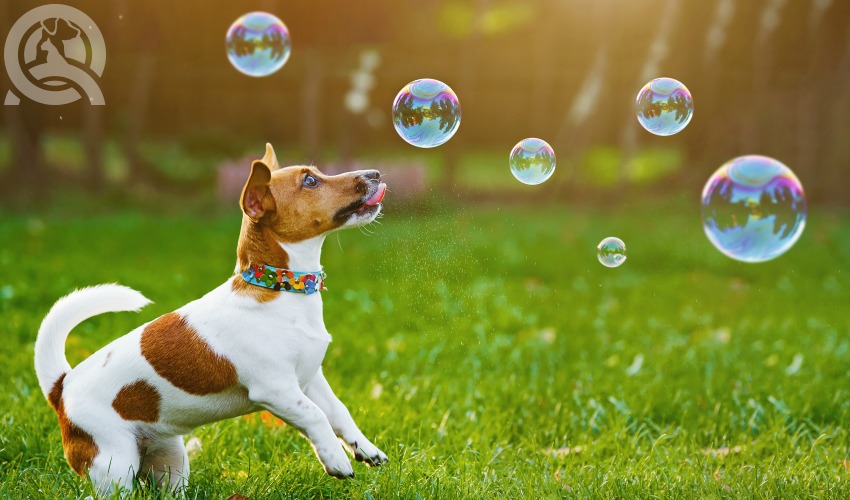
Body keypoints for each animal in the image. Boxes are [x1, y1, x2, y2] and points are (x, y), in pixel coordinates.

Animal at [34, 145, 390, 496]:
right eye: (310, 182)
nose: (375, 173)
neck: (278, 287)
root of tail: (62, 387)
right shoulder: (277, 391)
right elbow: (316, 417)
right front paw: (336, 460)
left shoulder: (310, 379)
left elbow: (338, 412)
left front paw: (365, 448)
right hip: (115, 465)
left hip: (171, 460)